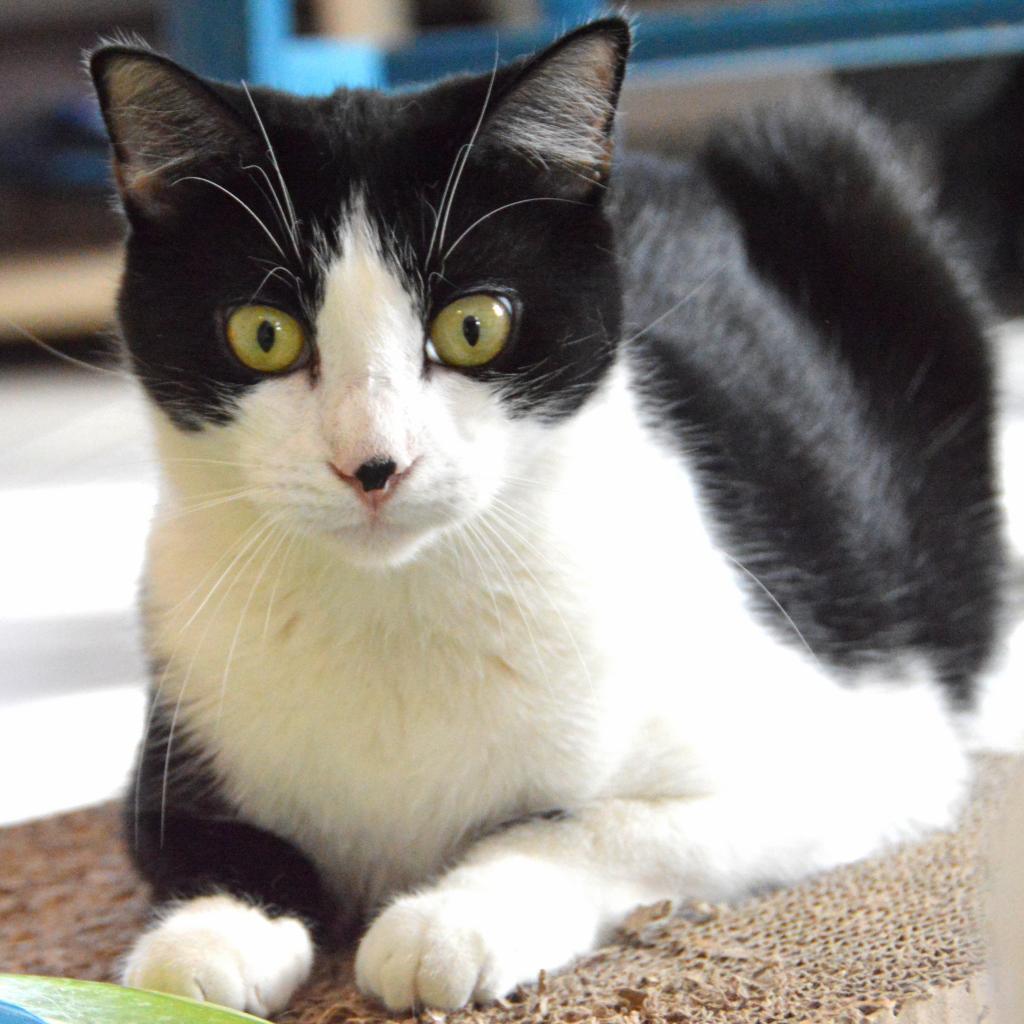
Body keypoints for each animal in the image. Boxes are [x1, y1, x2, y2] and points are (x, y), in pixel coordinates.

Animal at [88, 19, 1015, 1019]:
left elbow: (595, 825)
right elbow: (191, 837)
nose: (374, 464)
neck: (395, 605)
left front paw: (450, 922)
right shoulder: (178, 714)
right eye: (264, 334)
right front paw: (207, 937)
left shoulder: (864, 750)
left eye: (474, 327)